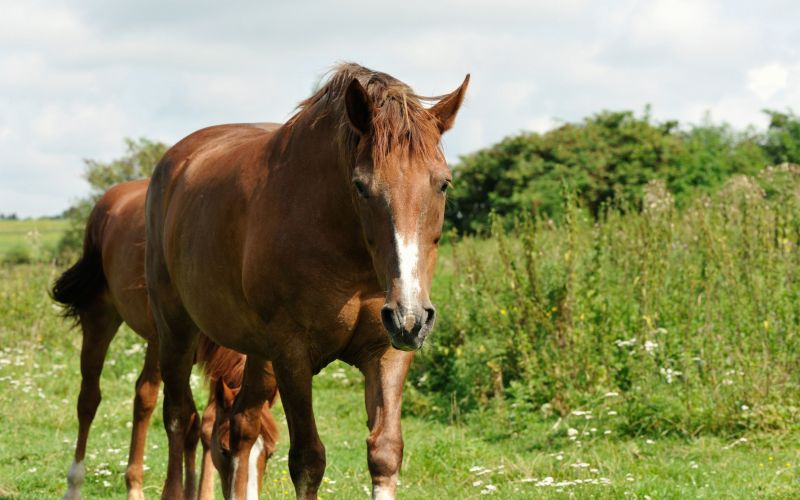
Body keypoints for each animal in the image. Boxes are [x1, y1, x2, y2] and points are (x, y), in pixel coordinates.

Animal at [52, 178, 279, 500]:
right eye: (224, 449)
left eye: (269, 453)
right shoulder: (171, 346)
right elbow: (182, 416)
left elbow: (202, 421)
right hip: (102, 319)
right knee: (93, 399)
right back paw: (80, 484)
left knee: (144, 398)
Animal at [145, 62, 468, 499]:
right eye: (361, 186)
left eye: (443, 183)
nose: (409, 317)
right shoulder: (292, 353)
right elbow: (308, 460)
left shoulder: (388, 350)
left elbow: (385, 451)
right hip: (176, 331)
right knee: (180, 418)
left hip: (257, 354)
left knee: (242, 426)